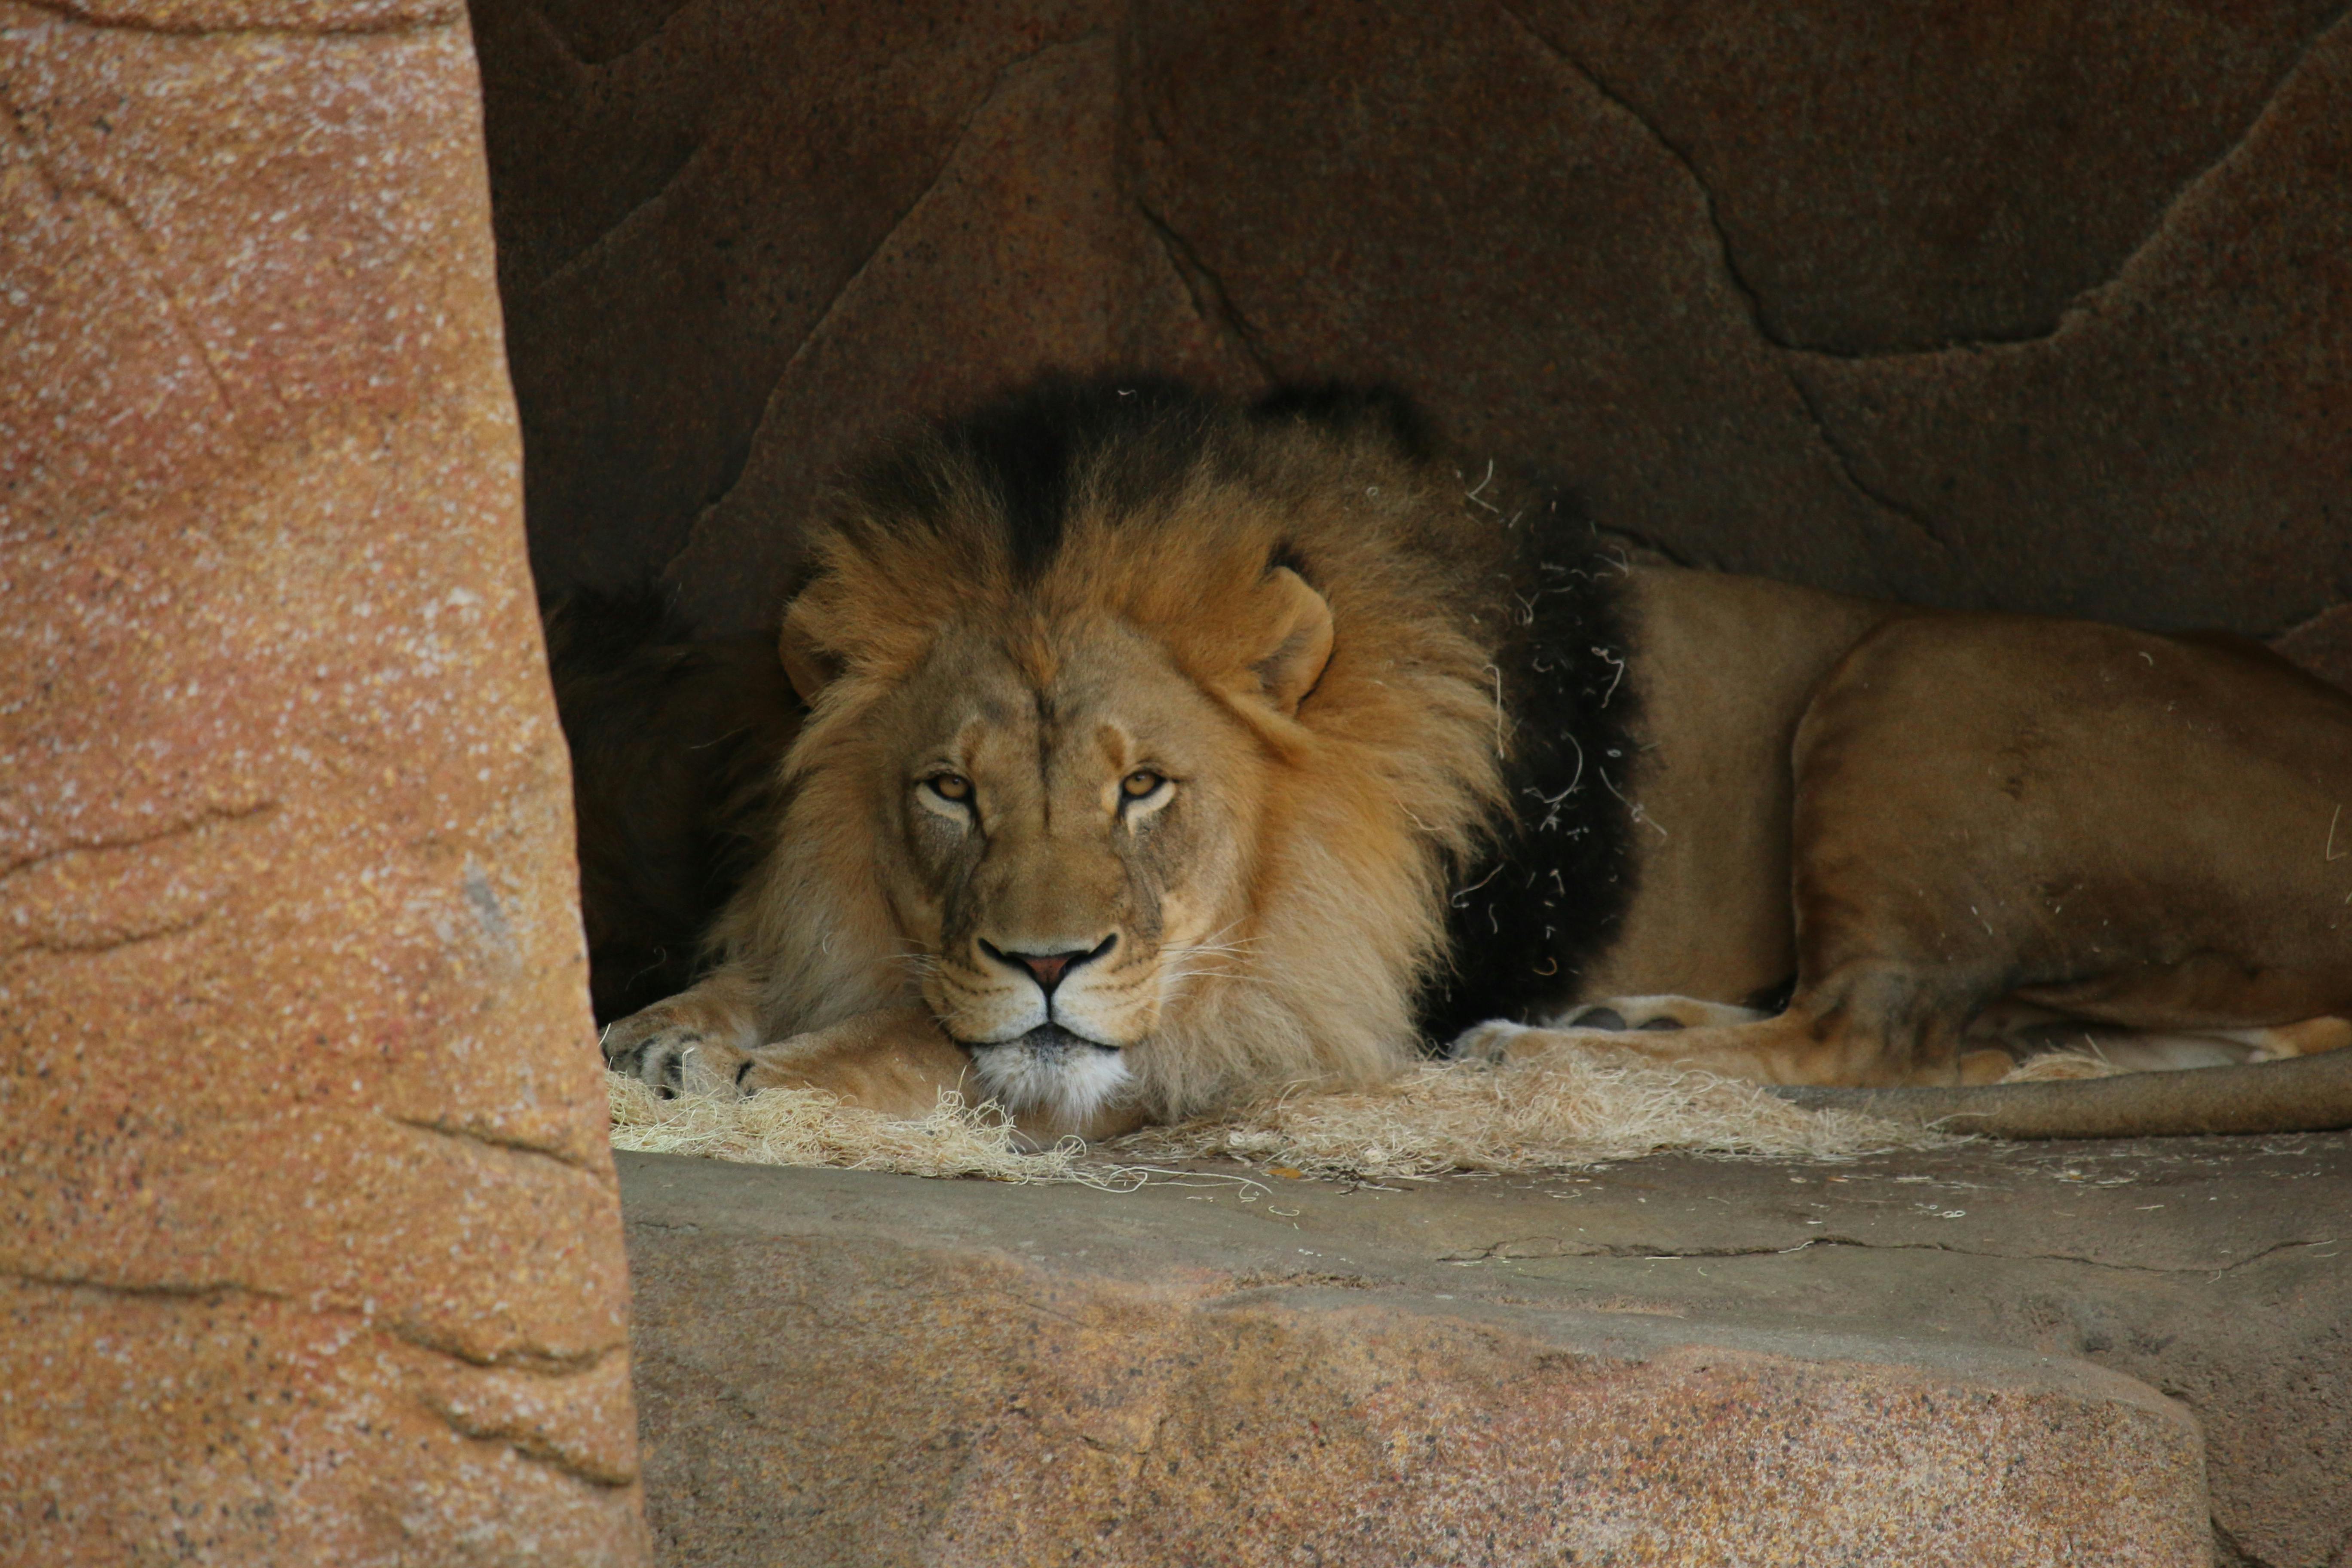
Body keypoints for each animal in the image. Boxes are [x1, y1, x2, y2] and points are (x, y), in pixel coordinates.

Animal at [583, 376, 2352, 1142]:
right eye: (949, 791)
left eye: (1144, 786)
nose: (1043, 956)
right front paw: (670, 1021)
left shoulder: (1290, 1005)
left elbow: (987, 1044)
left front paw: (771, 1063)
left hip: (1912, 677)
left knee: (1879, 1038)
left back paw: (1541, 1052)